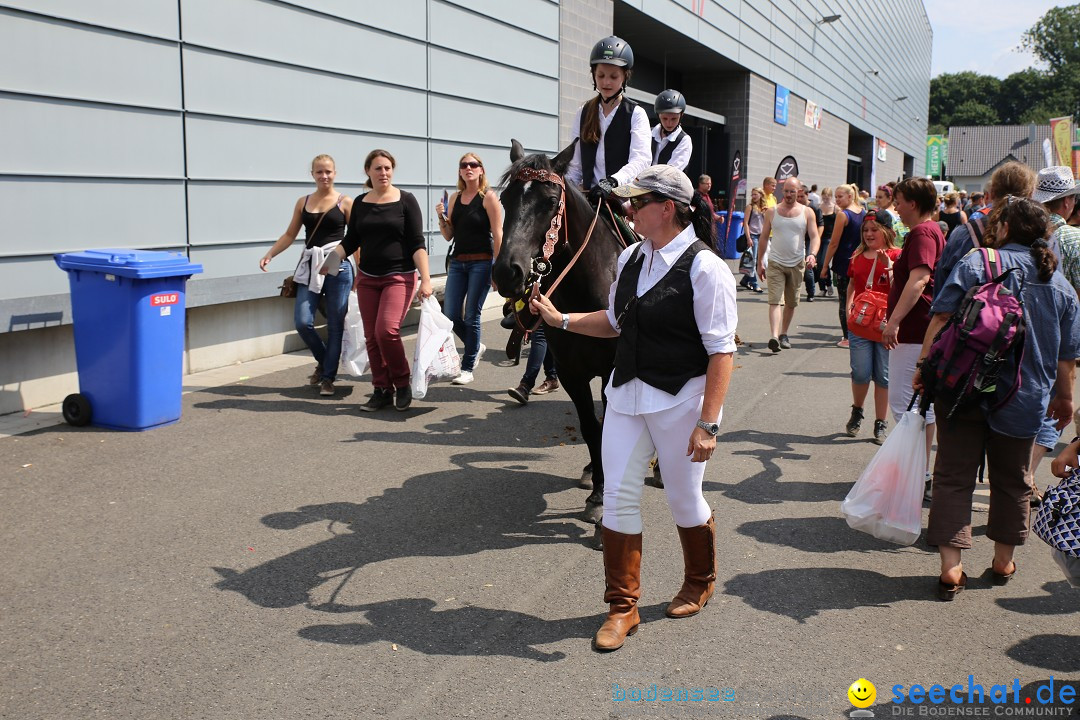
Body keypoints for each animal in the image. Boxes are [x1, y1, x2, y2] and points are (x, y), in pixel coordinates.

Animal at [496, 139, 626, 524]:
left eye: (551, 201)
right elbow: (590, 427)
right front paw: (598, 491)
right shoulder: (571, 373)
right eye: (505, 199)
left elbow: (609, 426)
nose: (506, 271)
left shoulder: (614, 371)